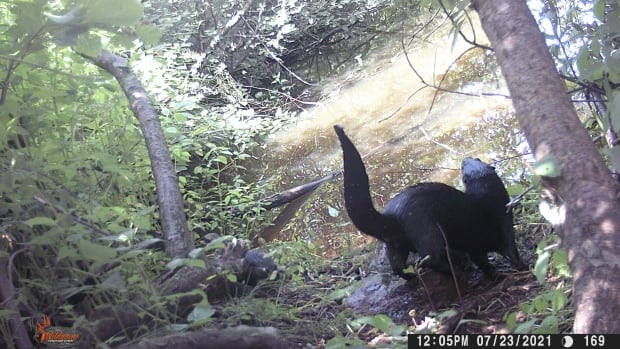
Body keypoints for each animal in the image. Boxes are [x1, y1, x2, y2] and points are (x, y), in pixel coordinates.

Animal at [334, 123, 524, 278]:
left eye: (474, 159)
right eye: (463, 165)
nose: (464, 159)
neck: (489, 196)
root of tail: (393, 215)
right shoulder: (503, 221)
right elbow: (506, 251)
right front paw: (513, 268)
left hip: (395, 243)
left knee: (397, 266)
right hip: (426, 229)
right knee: (429, 259)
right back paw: (454, 270)